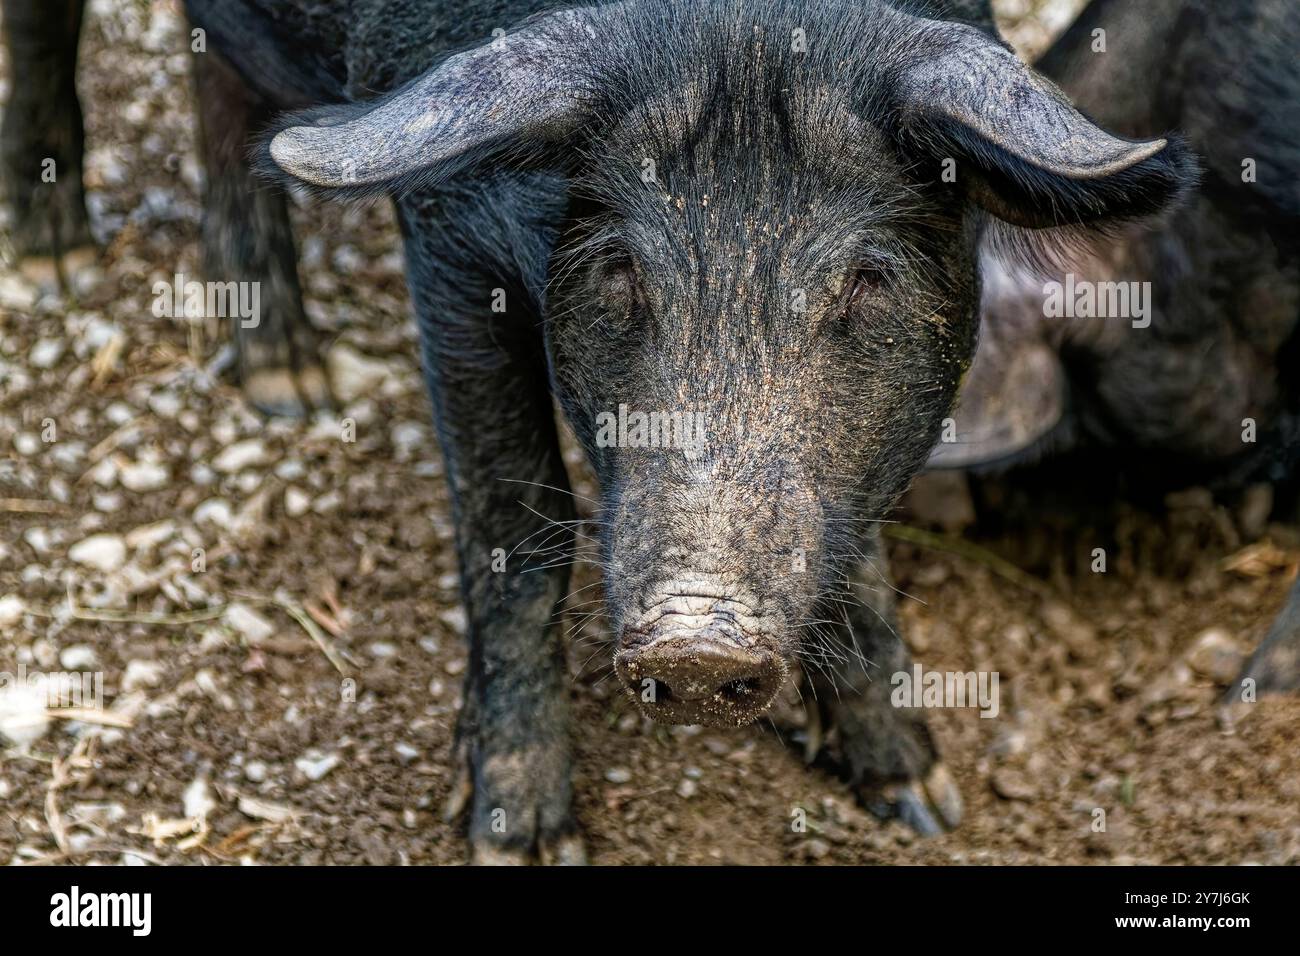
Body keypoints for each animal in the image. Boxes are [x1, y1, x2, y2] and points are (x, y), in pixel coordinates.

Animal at [182, 0, 1197, 862]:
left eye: (867, 281)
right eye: (619, 267)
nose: (697, 642)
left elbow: (859, 542)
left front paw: (922, 801)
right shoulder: (447, 243)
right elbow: (513, 526)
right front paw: (521, 841)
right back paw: (276, 379)